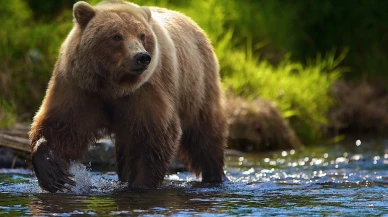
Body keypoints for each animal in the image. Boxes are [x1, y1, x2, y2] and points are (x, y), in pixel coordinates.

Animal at [30, 0, 229, 193]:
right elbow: (62, 125)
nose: (142, 57)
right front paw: (53, 172)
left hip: (198, 86)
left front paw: (141, 184)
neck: (112, 86)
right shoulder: (80, 87)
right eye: (117, 36)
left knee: (205, 134)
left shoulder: (145, 90)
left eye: (142, 35)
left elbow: (151, 136)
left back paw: (214, 175)